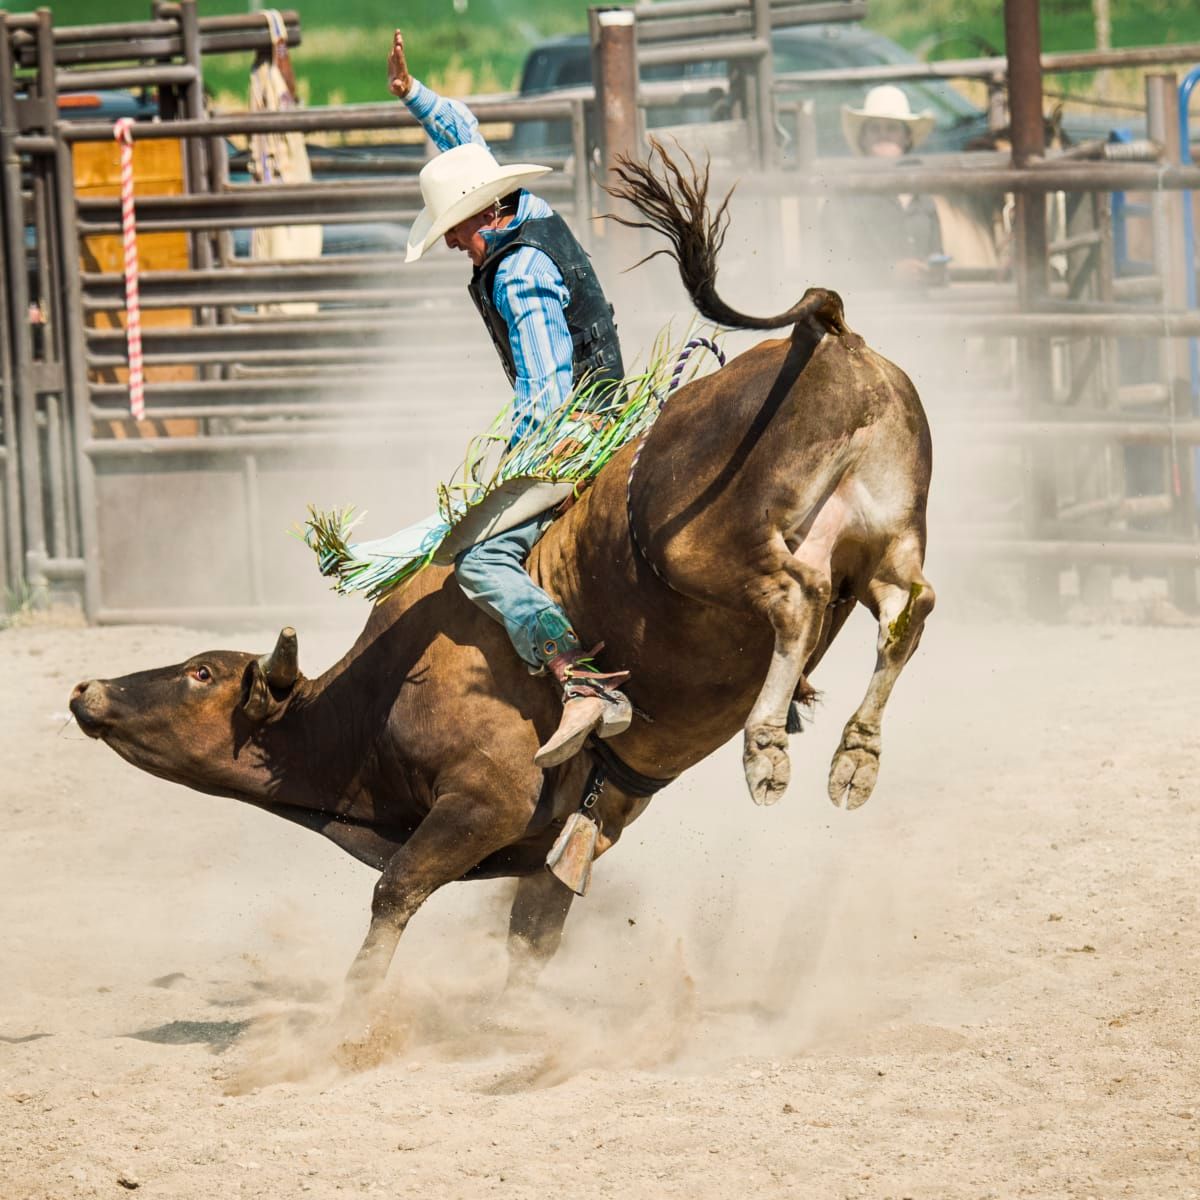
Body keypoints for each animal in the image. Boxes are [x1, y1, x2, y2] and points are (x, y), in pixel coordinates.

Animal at [65, 147, 931, 1012]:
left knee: (798, 599)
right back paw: (854, 757)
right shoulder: (576, 833)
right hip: (887, 535)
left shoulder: (486, 797)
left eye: (200, 672)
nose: (86, 689)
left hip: (711, 550)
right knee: (907, 610)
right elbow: (532, 937)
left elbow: (397, 892)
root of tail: (831, 336)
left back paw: (764, 749)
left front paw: (348, 1019)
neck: (375, 703)